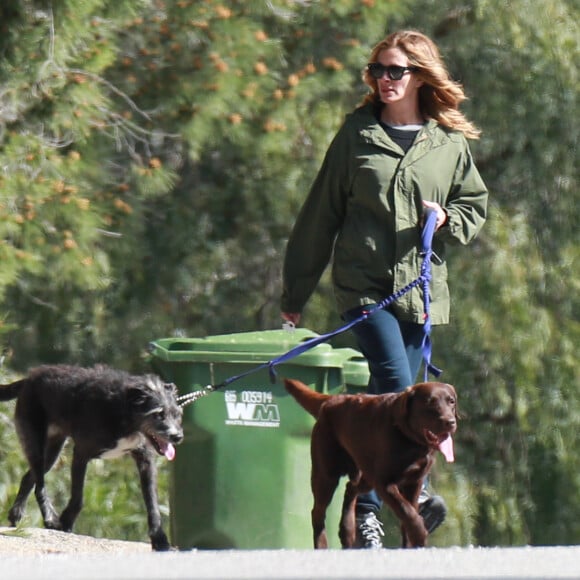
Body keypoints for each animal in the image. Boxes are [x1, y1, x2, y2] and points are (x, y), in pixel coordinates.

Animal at [0, 364, 184, 552]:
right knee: (39, 485)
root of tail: (30, 378)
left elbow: (152, 504)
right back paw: (50, 518)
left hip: (52, 451)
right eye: (158, 414)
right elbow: (78, 498)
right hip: (36, 442)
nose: (177, 437)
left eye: (177, 414)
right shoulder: (81, 454)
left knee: (29, 478)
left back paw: (16, 515)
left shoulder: (146, 461)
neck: (122, 409)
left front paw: (160, 539)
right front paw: (66, 523)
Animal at [284, 378, 458, 552]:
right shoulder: (384, 483)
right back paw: (322, 545)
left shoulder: (414, 482)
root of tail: (332, 400)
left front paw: (410, 545)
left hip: (366, 476)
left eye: (451, 401)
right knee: (317, 511)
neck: (409, 439)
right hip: (326, 474)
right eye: (430, 402)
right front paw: (420, 533)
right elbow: (408, 511)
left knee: (350, 488)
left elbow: (409, 512)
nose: (450, 422)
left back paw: (347, 530)